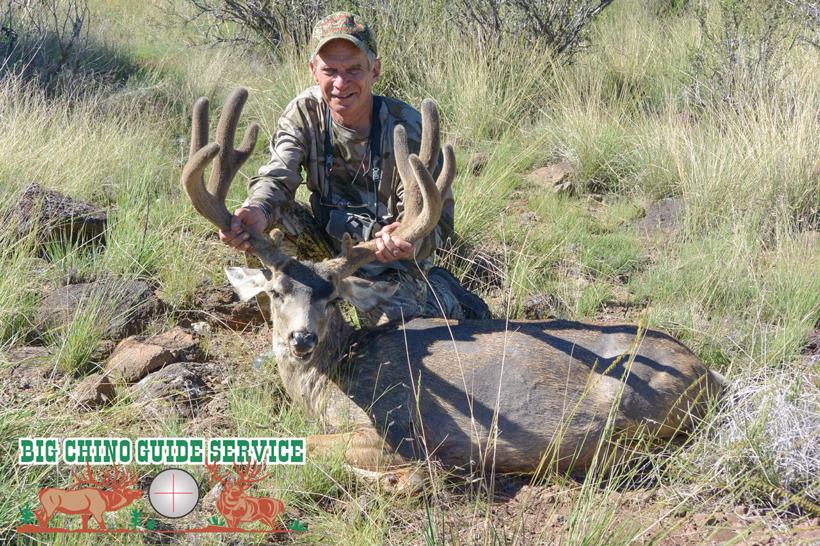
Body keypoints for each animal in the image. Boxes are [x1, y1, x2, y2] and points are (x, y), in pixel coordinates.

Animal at [182, 88, 723, 491]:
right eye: (275, 292)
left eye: (333, 297)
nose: (300, 339)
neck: (332, 379)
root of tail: (710, 375)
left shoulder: (395, 428)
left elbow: (302, 451)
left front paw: (415, 476)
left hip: (625, 410)